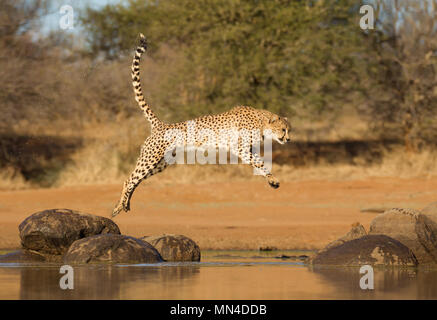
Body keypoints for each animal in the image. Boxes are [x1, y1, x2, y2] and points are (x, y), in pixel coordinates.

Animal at [110, 33, 292, 218]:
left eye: (288, 130)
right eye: (283, 130)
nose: (288, 139)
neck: (261, 123)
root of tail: (161, 125)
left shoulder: (248, 148)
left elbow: (259, 162)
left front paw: (272, 180)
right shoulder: (239, 147)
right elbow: (259, 162)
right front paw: (272, 178)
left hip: (161, 163)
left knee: (136, 180)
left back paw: (123, 205)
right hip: (150, 158)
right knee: (129, 179)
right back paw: (119, 206)